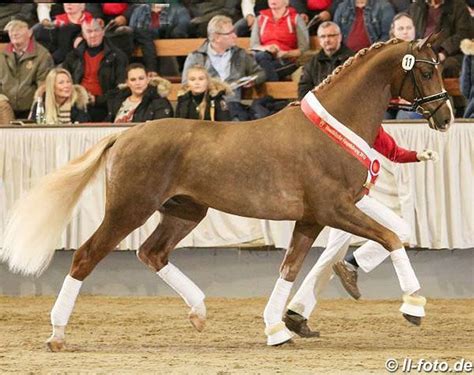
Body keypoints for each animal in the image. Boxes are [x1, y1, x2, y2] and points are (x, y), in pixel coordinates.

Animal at [0, 36, 452, 352]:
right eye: (427, 70)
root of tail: (126, 134)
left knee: (153, 253)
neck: (332, 130)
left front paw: (277, 329)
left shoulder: (311, 218)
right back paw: (57, 334)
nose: (446, 117)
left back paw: (199, 313)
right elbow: (391, 238)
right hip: (129, 210)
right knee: (85, 257)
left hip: (184, 212)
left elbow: (290, 269)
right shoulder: (334, 209)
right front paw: (413, 306)